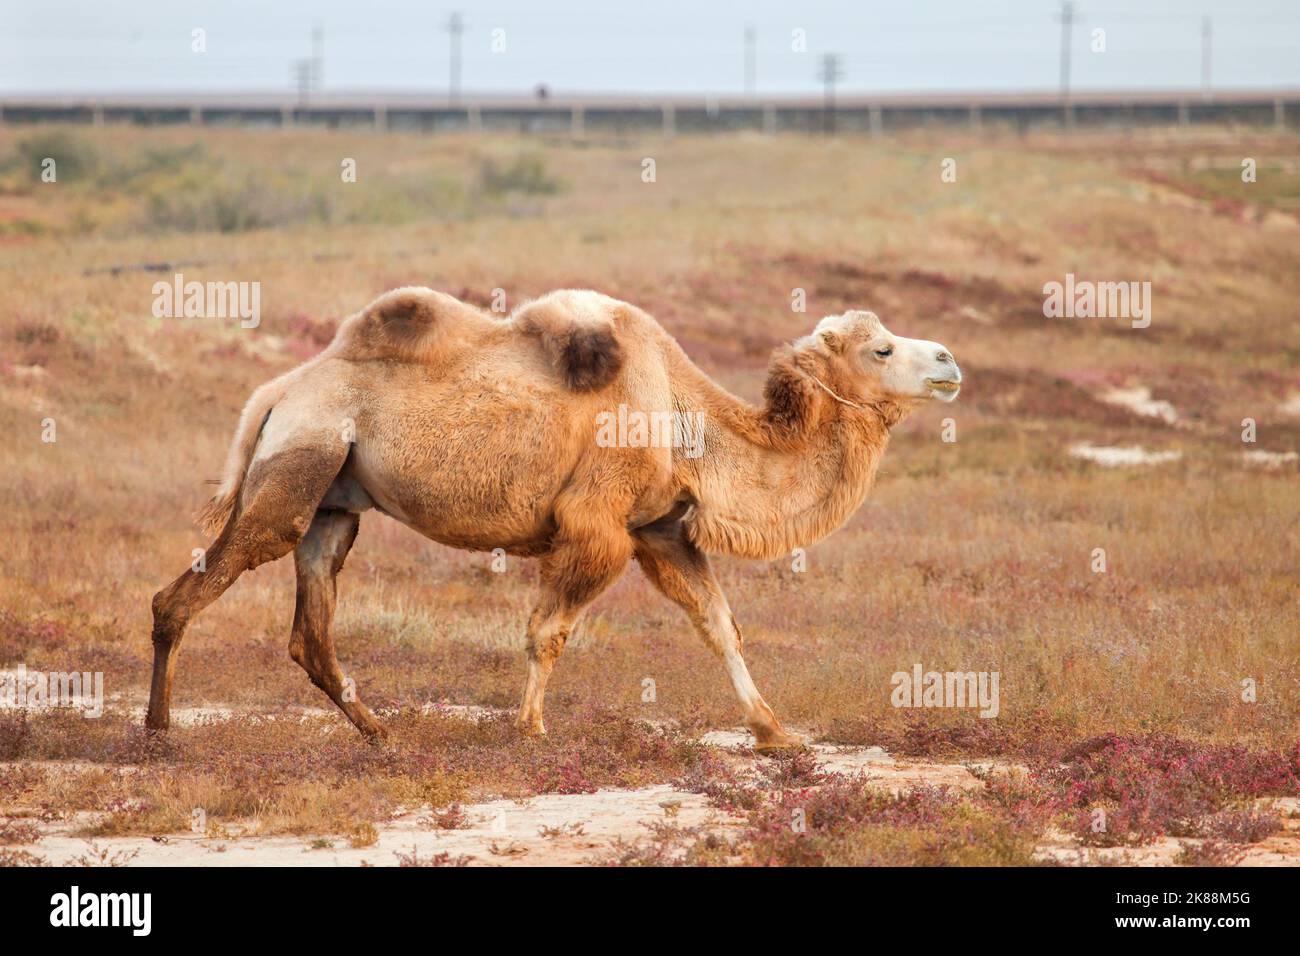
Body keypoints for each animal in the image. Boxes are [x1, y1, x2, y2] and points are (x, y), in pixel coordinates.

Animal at [146, 287, 961, 749]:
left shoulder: (659, 530)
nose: (950, 362)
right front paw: (532, 729)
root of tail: (278, 390)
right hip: (300, 462)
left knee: (310, 626)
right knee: (185, 593)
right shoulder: (596, 526)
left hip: (335, 500)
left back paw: (381, 736)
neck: (684, 417)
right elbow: (549, 631)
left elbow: (719, 624)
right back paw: (158, 733)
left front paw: (776, 733)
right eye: (882, 348)